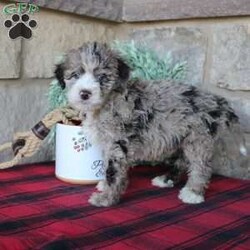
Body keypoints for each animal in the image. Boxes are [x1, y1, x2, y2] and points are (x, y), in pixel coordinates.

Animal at [54, 41, 248, 207]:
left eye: (102, 77)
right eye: (75, 74)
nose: (85, 93)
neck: (106, 102)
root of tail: (218, 102)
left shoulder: (119, 143)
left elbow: (113, 172)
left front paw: (105, 198)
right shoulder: (107, 144)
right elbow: (106, 167)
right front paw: (104, 185)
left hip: (198, 138)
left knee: (201, 166)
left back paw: (193, 193)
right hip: (182, 136)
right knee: (182, 161)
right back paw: (166, 180)